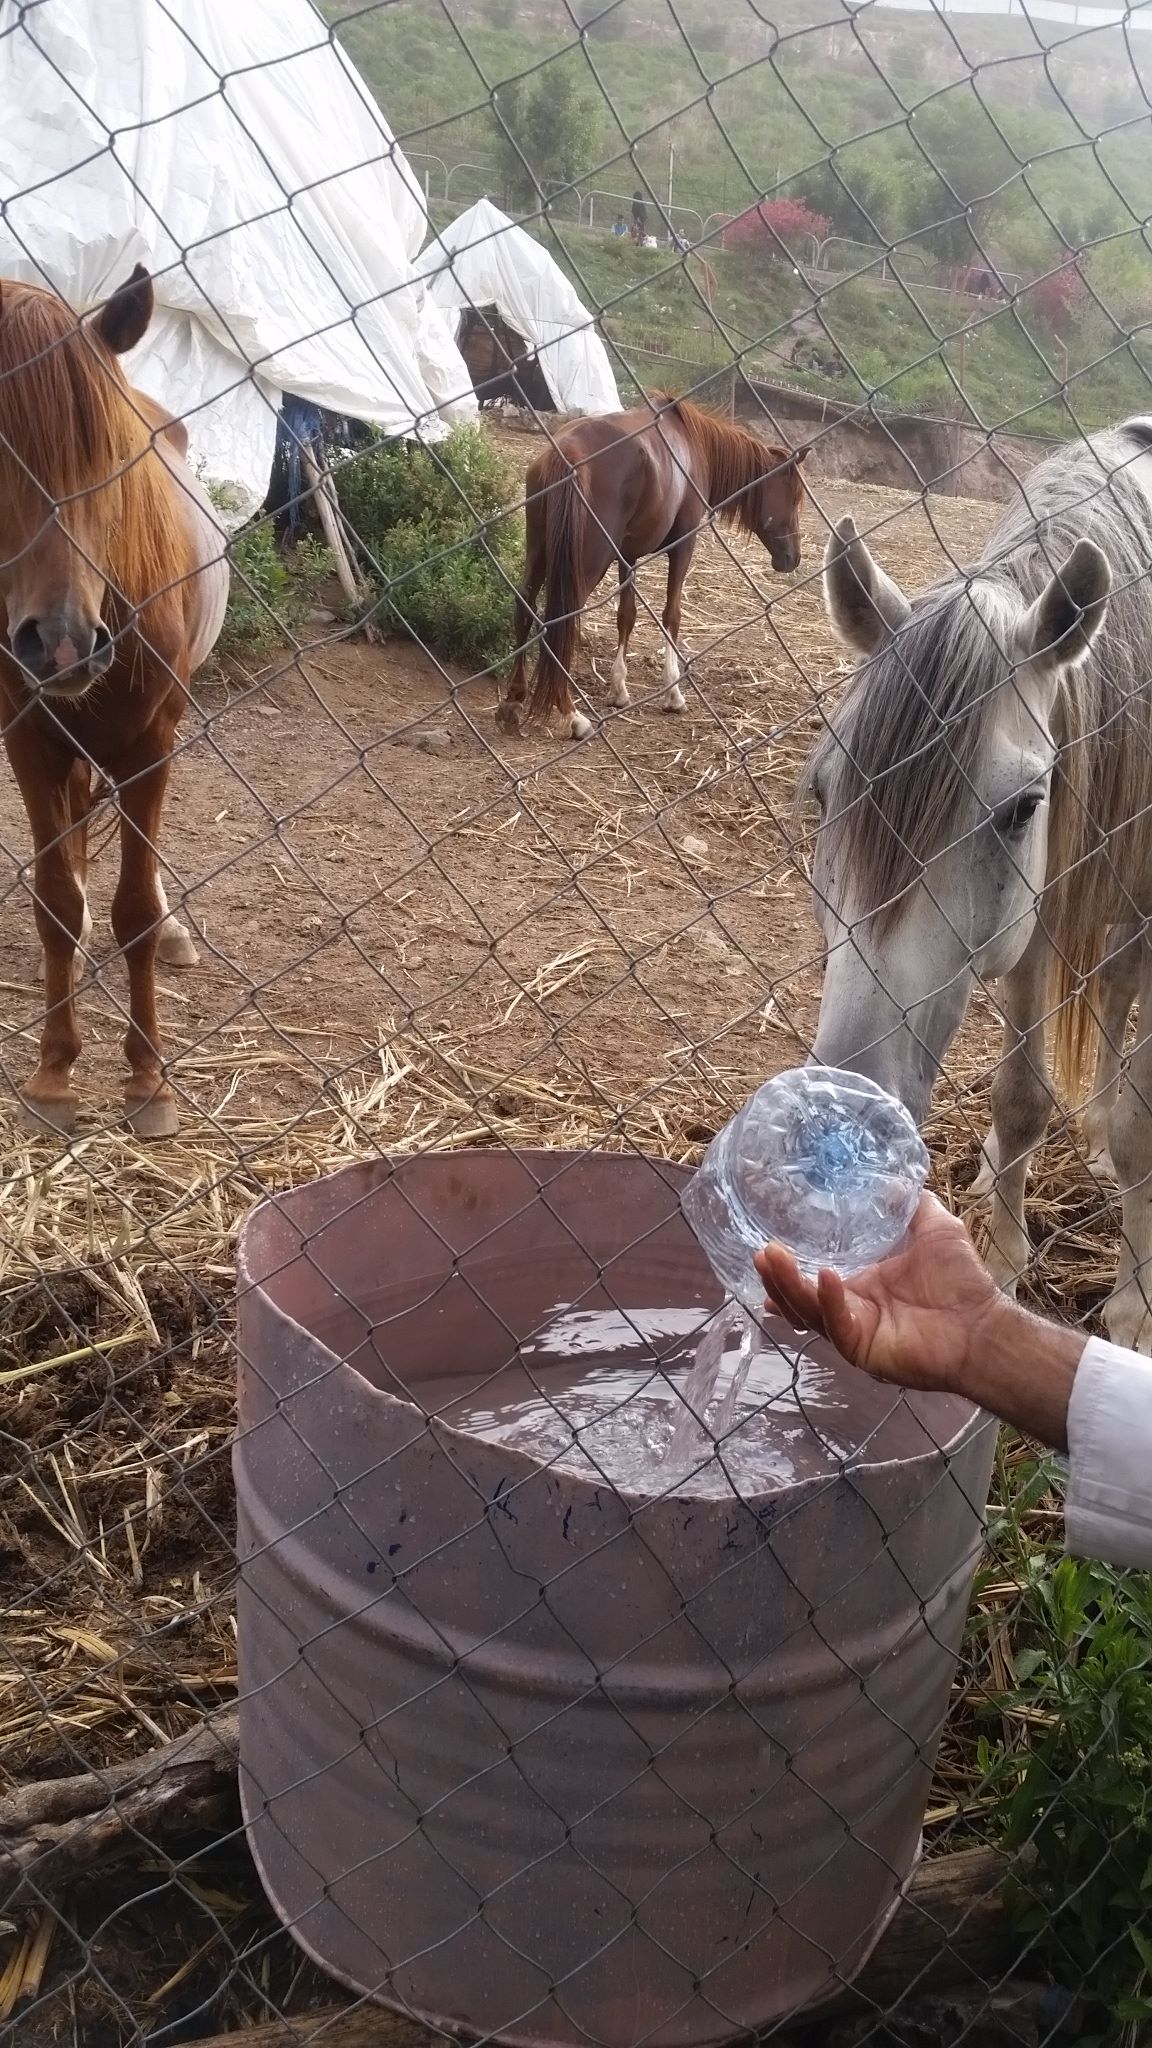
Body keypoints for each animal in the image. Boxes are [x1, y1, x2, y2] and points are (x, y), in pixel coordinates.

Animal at [0, 260, 228, 1138]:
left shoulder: (150, 746)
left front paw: (147, 1078)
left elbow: (133, 909)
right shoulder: (28, 740)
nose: (60, 643)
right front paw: (53, 1075)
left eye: (109, 461)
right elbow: (58, 902)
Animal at [496, 395, 807, 741]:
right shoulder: (683, 545)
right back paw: (572, 715)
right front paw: (673, 693)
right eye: (793, 497)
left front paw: (618, 689)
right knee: (561, 622)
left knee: (525, 609)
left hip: (539, 551)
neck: (694, 444)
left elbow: (626, 615)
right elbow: (672, 615)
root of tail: (566, 455)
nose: (793, 557)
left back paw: (514, 700)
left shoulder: (627, 556)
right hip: (587, 565)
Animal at [803, 415, 1147, 1343]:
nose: (846, 1111)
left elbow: (1143, 1125)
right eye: (823, 790)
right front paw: (999, 1256)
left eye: (1025, 807)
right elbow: (1021, 1097)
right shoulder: (1033, 926)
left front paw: (1135, 1306)